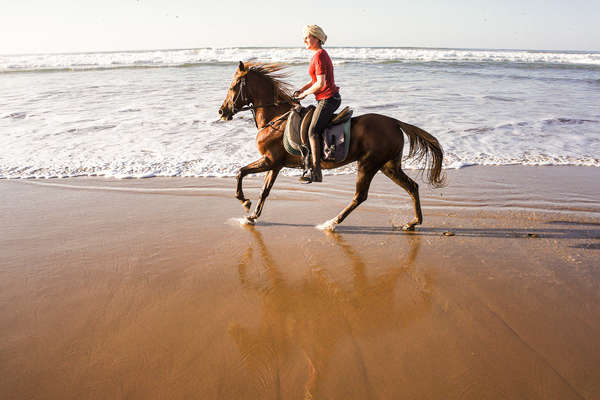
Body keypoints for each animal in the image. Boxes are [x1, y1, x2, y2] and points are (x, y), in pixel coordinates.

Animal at [218, 62, 442, 231]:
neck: (275, 118)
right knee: (412, 186)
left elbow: (241, 172)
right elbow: (264, 190)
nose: (222, 111)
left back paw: (331, 223)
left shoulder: (270, 160)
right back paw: (413, 222)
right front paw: (251, 216)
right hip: (389, 166)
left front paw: (244, 202)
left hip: (369, 164)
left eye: (234, 85)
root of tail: (395, 122)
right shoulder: (275, 164)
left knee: (360, 196)